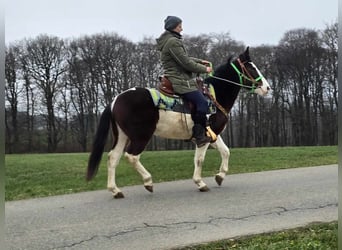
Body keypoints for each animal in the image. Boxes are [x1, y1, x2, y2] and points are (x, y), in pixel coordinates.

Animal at [87, 47, 272, 198]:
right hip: (141, 136)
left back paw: (115, 190)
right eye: (251, 67)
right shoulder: (203, 137)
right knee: (131, 156)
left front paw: (220, 176)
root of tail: (115, 100)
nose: (267, 88)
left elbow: (226, 152)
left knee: (113, 158)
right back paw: (148, 181)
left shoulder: (213, 133)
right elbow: (200, 160)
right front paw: (200, 182)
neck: (214, 96)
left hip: (122, 136)